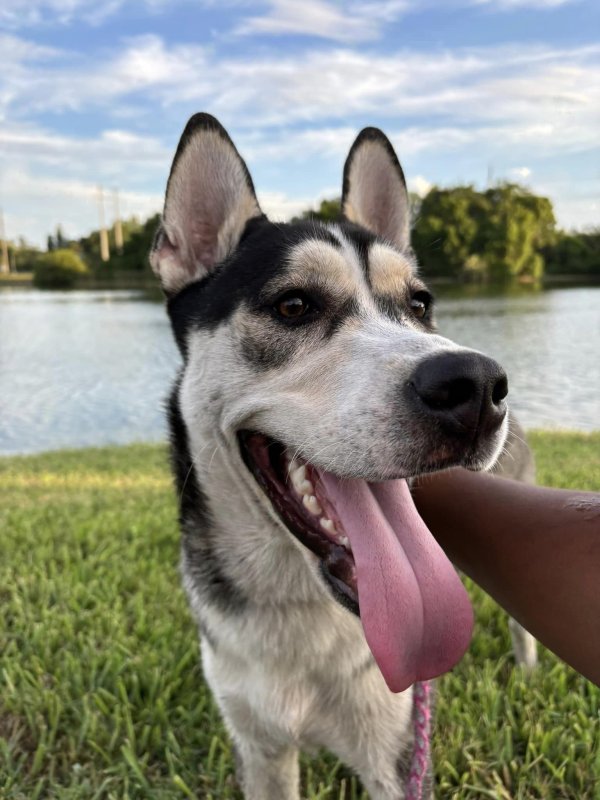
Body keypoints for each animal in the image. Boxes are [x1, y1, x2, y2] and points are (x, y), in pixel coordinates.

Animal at [152, 114, 536, 800]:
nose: (476, 386)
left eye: (419, 304)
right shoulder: (259, 746)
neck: (297, 604)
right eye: (293, 305)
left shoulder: (395, 754)